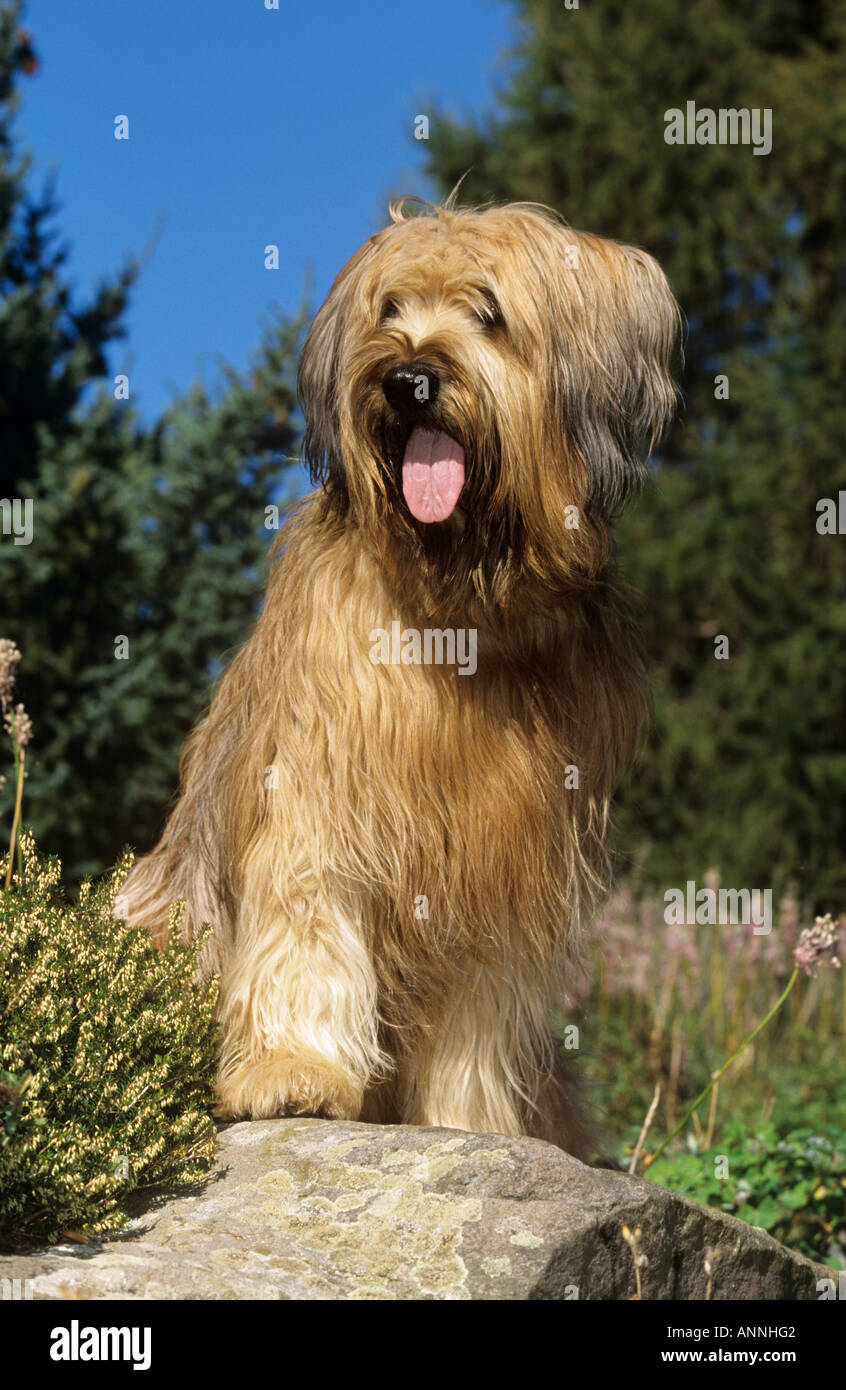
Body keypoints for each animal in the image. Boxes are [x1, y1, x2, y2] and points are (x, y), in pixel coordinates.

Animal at [122, 193, 680, 1150]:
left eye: (489, 312)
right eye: (389, 309)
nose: (407, 380)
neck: (461, 615)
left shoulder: (506, 848)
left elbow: (478, 1011)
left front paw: (471, 1122)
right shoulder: (319, 782)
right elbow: (306, 916)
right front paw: (293, 1071)